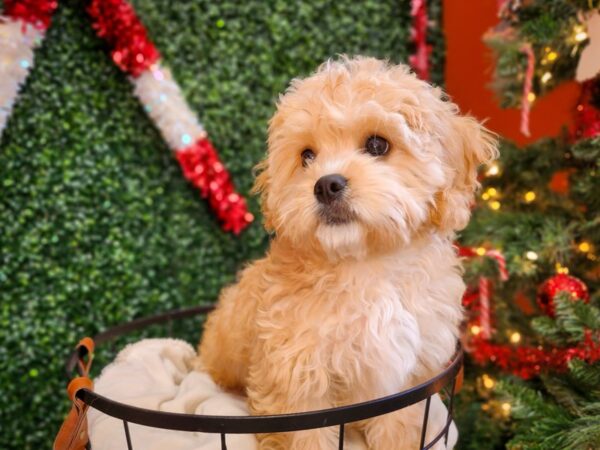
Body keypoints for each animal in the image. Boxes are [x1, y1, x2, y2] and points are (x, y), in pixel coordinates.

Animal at [197, 57, 496, 450]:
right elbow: (306, 436)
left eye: (377, 145)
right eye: (307, 156)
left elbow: (400, 425)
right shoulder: (297, 377)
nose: (326, 185)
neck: (365, 262)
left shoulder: (407, 376)